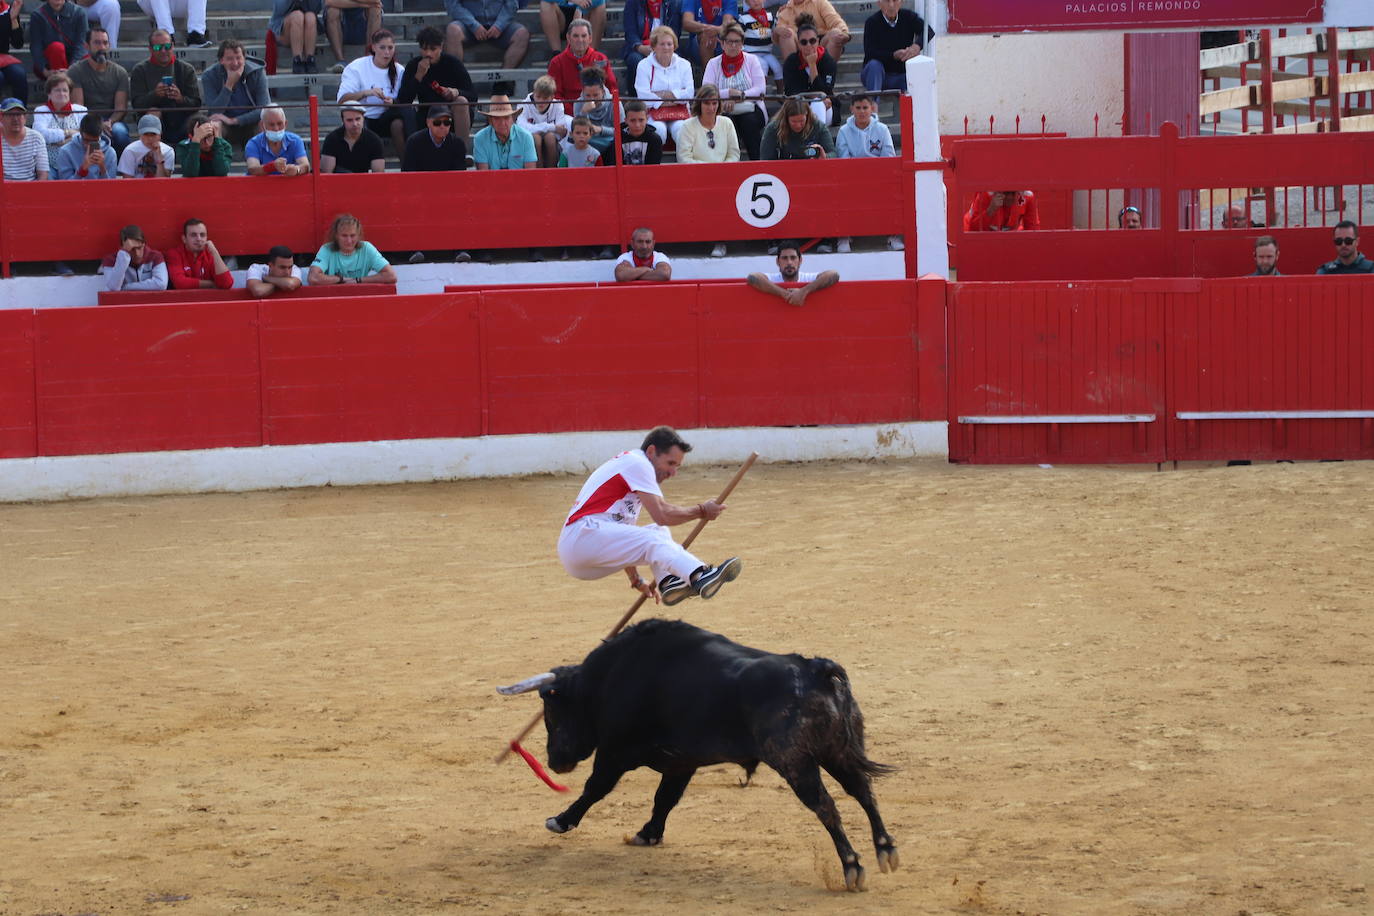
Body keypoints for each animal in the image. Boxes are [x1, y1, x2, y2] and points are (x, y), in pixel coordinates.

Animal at [505, 620, 901, 889]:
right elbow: (665, 799)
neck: (609, 677)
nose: (555, 761)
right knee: (863, 792)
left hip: (796, 763)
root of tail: (815, 669)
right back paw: (885, 850)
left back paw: (852, 866)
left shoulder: (614, 752)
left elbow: (595, 790)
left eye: (552, 712)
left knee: (827, 806)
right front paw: (648, 834)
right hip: (839, 752)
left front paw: (560, 820)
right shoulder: (682, 763)